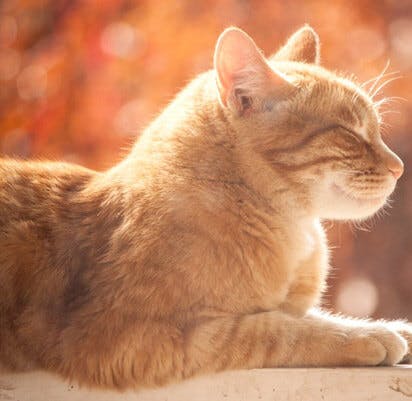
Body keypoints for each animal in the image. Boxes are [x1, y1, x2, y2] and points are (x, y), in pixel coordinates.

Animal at [0, 25, 412, 388]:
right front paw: (368, 337)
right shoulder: (137, 339)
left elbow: (311, 314)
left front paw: (390, 328)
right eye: (349, 134)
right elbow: (278, 328)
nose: (399, 168)